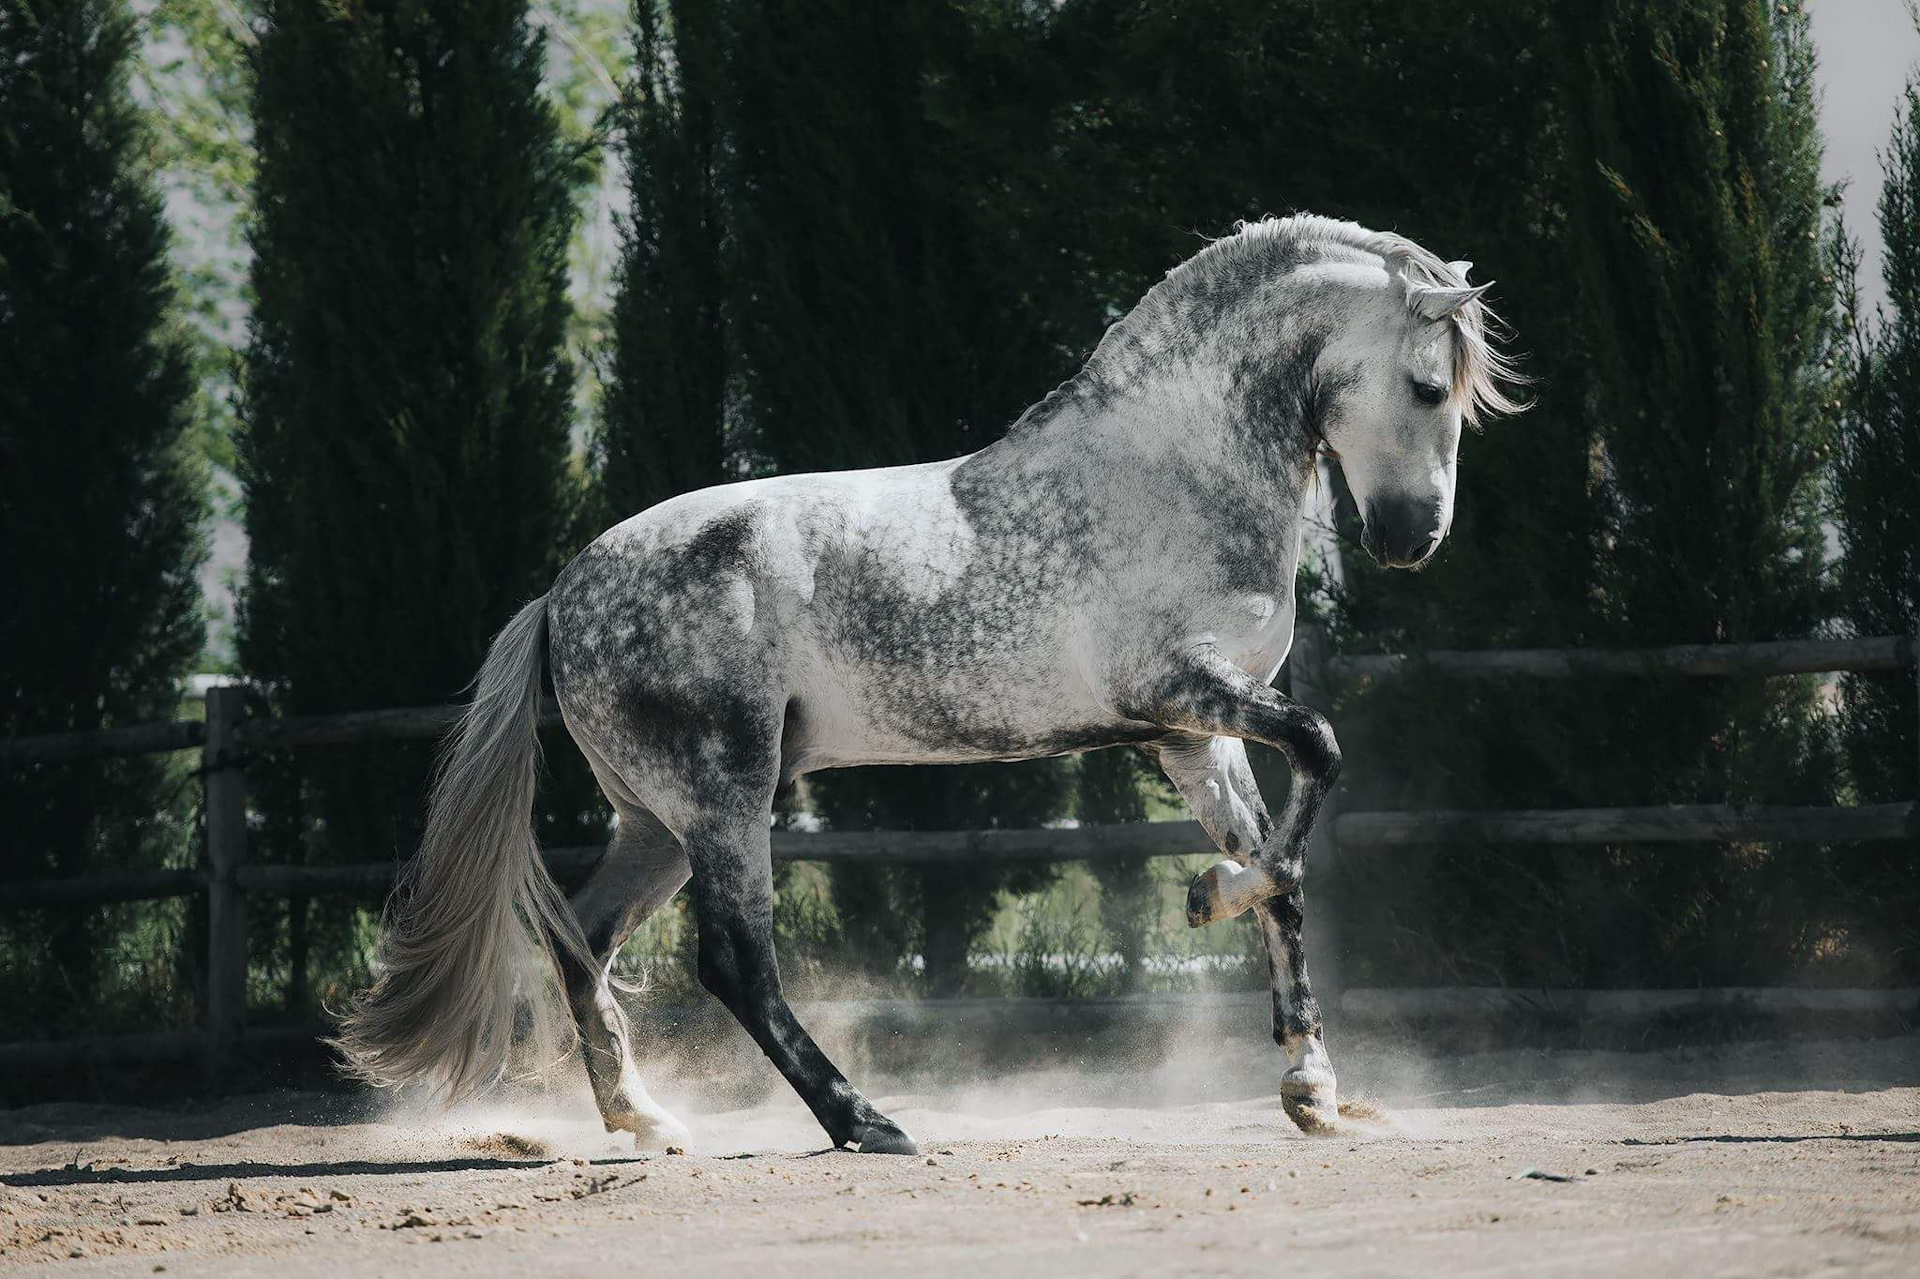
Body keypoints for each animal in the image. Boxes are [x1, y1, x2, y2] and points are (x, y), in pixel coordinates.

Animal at [334, 214, 1528, 1152]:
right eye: (1428, 384)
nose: (1412, 539)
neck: (1174, 472)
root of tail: (564, 594)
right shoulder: (1180, 692)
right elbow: (1318, 756)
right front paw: (1206, 897)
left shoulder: (1196, 734)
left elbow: (1284, 870)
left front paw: (1309, 1086)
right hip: (724, 798)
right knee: (734, 961)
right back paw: (868, 1122)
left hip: (657, 820)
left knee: (584, 935)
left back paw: (648, 1121)